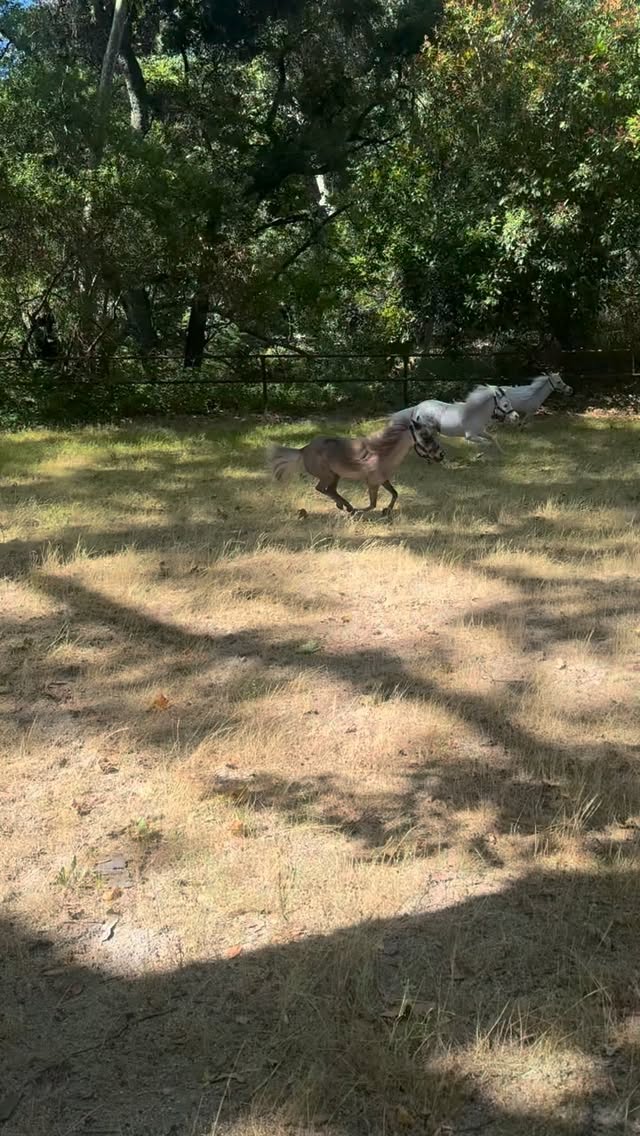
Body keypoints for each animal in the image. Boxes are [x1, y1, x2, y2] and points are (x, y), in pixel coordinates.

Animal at [267, 417, 445, 517]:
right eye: (425, 437)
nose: (441, 455)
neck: (383, 454)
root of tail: (303, 450)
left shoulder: (383, 480)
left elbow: (395, 494)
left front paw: (386, 510)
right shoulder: (372, 483)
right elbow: (372, 504)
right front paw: (360, 511)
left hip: (335, 476)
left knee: (330, 490)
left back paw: (345, 506)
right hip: (327, 475)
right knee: (321, 488)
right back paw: (348, 507)